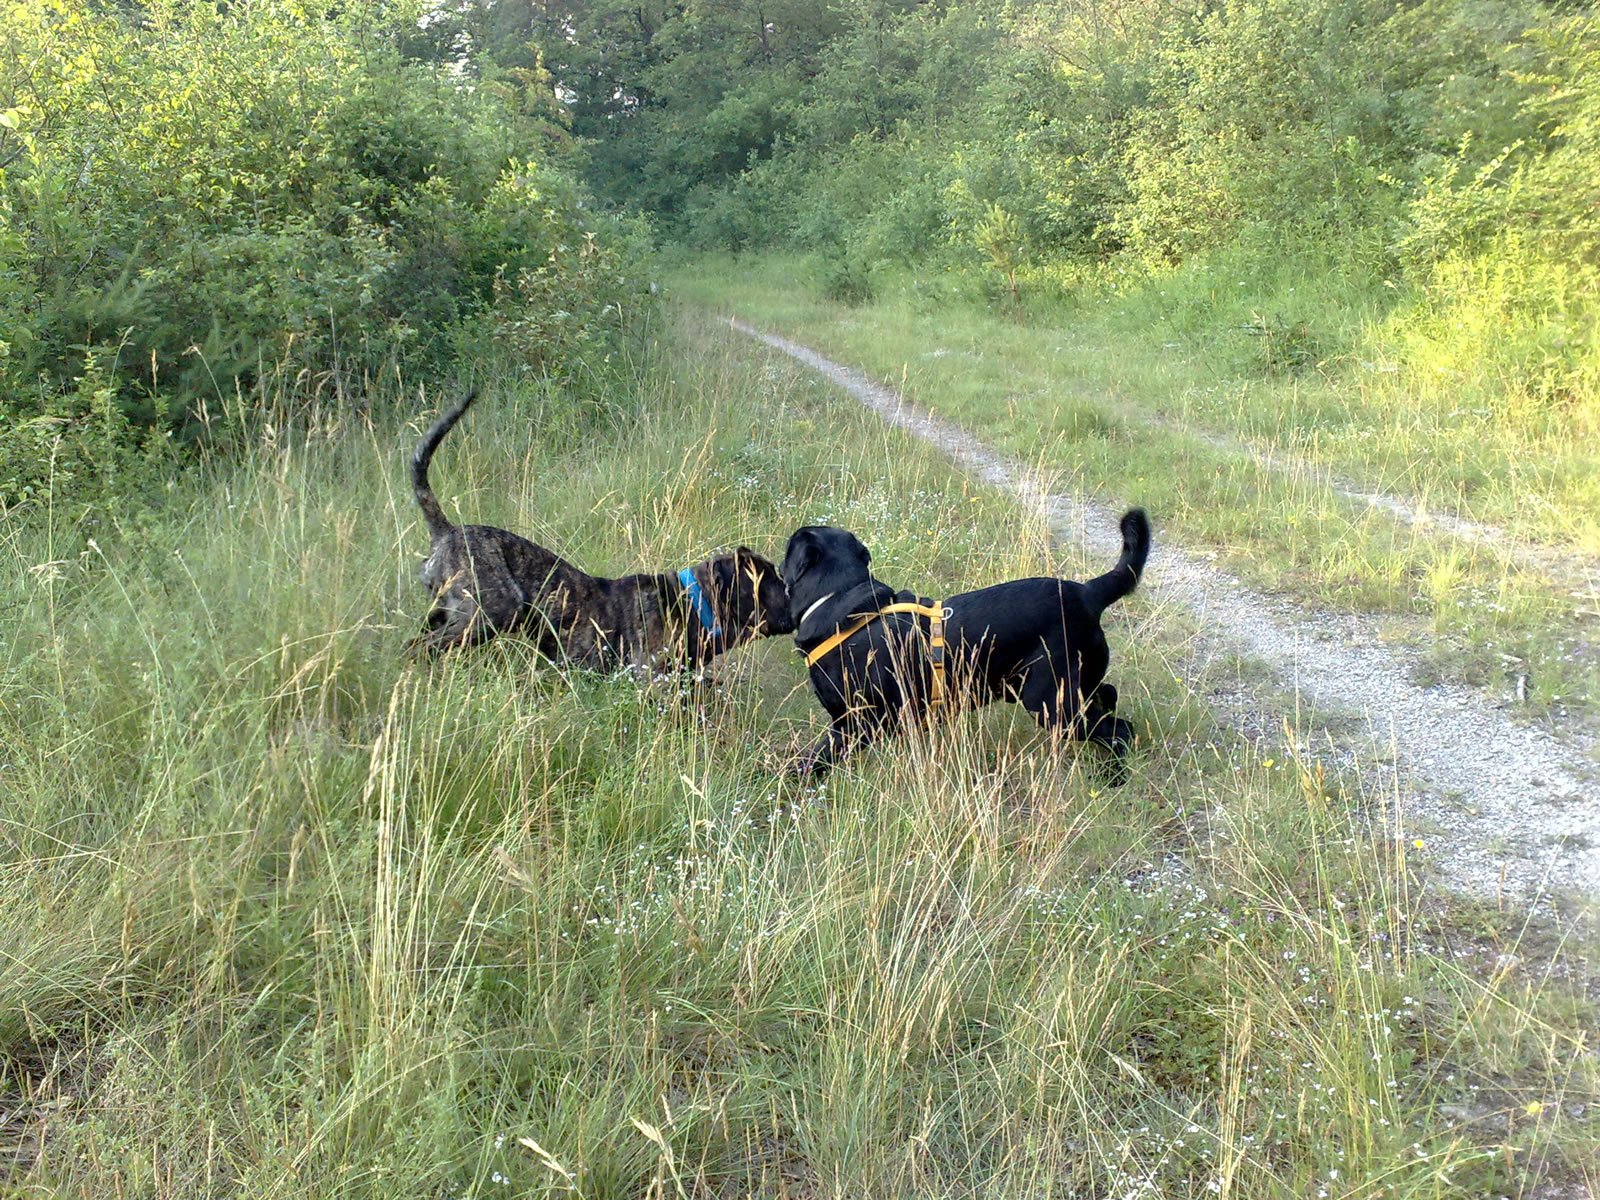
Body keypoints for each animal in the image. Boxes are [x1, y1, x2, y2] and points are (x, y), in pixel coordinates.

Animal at [781, 509, 1150, 779]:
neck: (840, 600)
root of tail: (1088, 593)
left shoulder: (855, 724)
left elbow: (815, 759)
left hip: (1050, 702)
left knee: (1119, 730)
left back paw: (1114, 776)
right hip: (1072, 685)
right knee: (1109, 696)